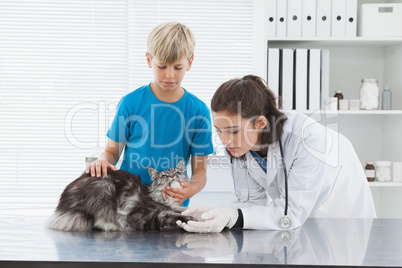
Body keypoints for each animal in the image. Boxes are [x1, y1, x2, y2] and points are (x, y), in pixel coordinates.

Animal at [46, 160, 194, 231]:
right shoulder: (140, 214)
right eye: (164, 176)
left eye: (177, 173)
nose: (172, 176)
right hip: (105, 186)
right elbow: (170, 216)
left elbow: (178, 212)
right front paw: (190, 219)